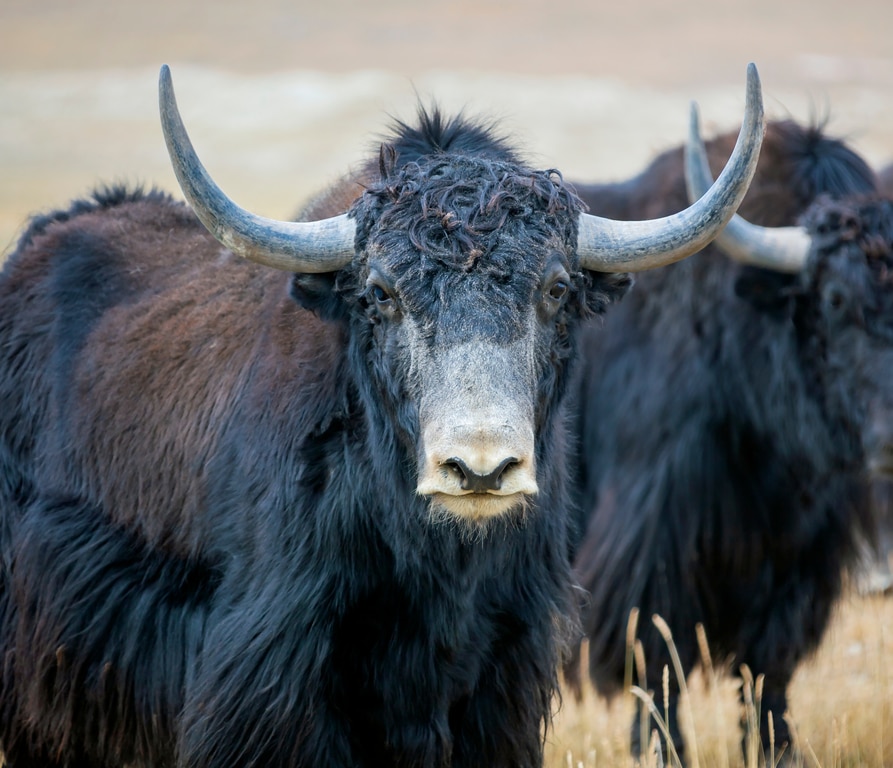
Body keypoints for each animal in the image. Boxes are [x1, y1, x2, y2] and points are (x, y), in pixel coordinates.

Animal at [565, 110, 889, 765]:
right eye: (834, 299)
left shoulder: (799, 561)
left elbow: (769, 668)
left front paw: (777, 750)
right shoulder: (653, 541)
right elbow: (655, 660)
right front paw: (663, 752)